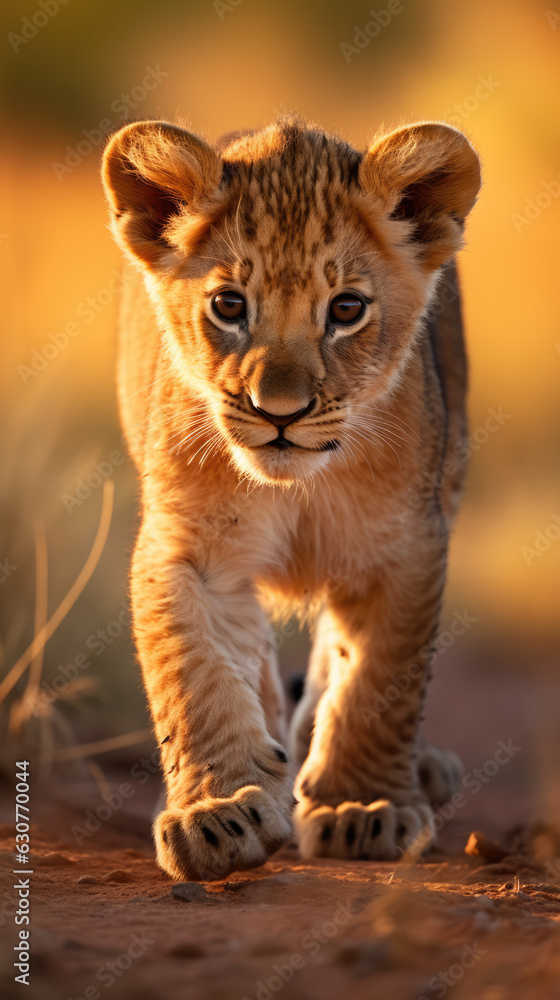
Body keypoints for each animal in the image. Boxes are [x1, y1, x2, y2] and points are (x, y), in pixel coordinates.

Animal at [101, 115, 480, 880]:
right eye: (228, 305)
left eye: (346, 309)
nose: (278, 412)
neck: (297, 487)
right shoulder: (189, 548)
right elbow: (195, 674)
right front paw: (220, 812)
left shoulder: (405, 546)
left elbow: (379, 681)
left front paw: (360, 807)